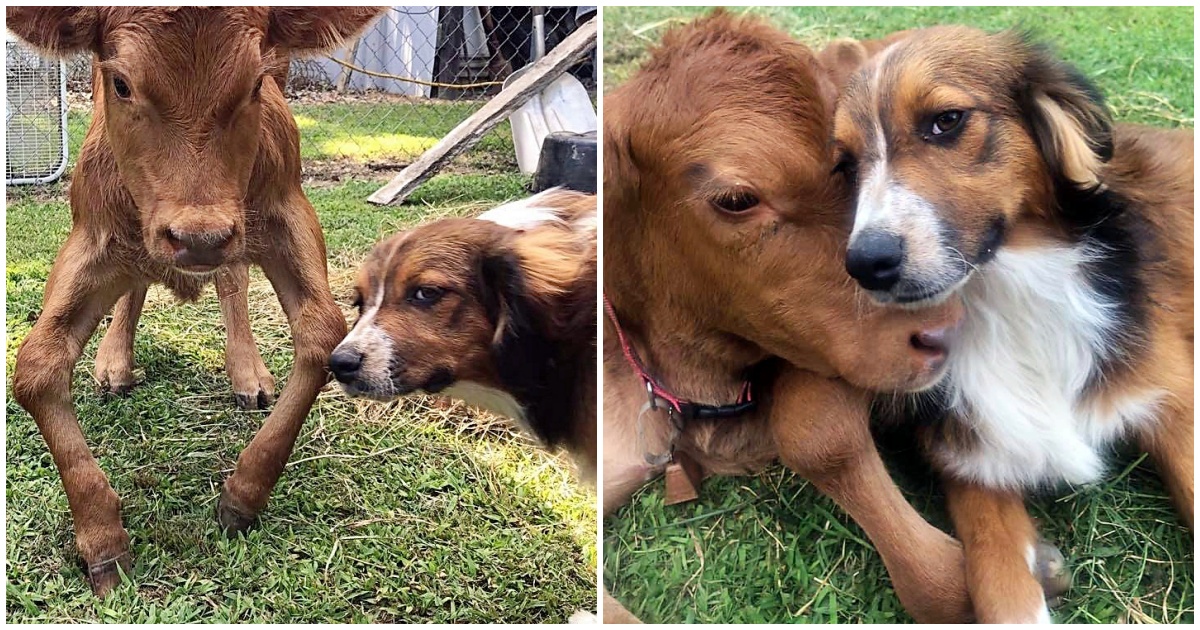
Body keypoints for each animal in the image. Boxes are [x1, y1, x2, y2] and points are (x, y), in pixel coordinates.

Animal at [8, 6, 384, 595]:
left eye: (256, 83)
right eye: (121, 83)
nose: (198, 237)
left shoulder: (285, 210)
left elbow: (323, 334)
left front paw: (245, 492)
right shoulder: (92, 235)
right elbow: (36, 366)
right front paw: (101, 536)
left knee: (232, 279)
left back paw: (245, 369)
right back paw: (116, 359)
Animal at [835, 27, 1190, 619]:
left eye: (946, 120)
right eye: (844, 165)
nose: (865, 264)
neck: (1005, 302)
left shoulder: (1176, 400)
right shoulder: (972, 464)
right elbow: (1000, 589)